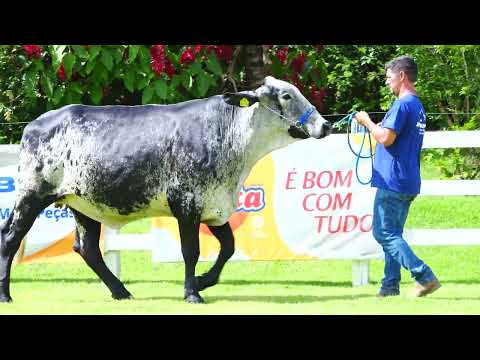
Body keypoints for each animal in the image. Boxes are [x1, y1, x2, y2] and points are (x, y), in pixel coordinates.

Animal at [0, 76, 330, 304]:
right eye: (286, 95)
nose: (325, 125)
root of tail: (33, 126)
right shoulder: (186, 205)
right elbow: (191, 251)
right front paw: (192, 292)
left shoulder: (215, 208)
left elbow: (228, 247)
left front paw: (203, 281)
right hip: (31, 196)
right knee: (10, 239)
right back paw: (6, 295)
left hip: (84, 205)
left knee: (88, 249)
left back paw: (121, 292)